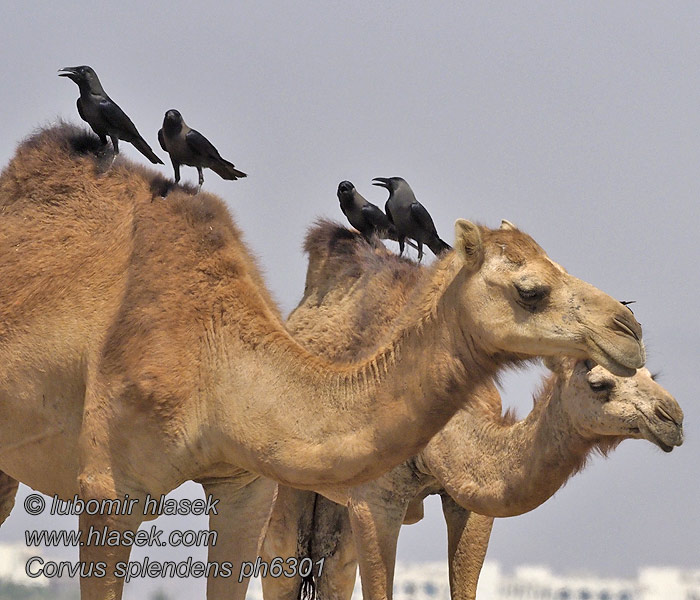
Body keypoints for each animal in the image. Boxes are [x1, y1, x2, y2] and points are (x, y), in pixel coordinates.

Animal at [260, 225, 680, 600]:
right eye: (598, 384)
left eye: (653, 376)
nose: (672, 417)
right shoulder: (374, 499)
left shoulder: (469, 503)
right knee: (282, 561)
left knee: (334, 569)